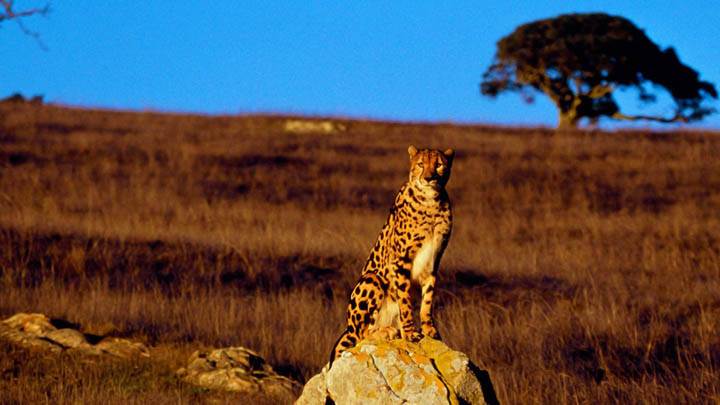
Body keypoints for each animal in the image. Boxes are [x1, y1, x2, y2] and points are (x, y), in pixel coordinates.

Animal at [329, 145, 454, 366]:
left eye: (439, 164)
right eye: (420, 164)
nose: (429, 178)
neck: (431, 203)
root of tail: (347, 327)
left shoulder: (433, 262)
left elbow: (427, 300)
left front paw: (429, 329)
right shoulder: (401, 261)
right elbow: (405, 300)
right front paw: (410, 332)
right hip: (372, 279)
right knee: (361, 334)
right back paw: (385, 331)